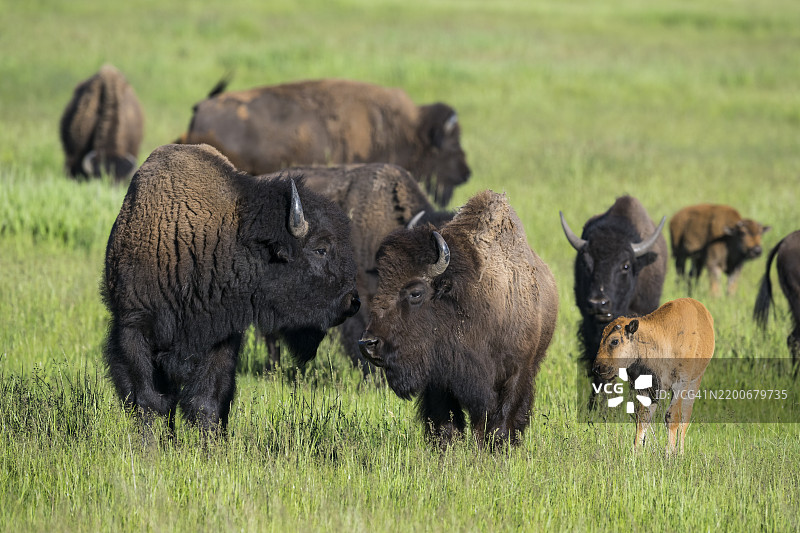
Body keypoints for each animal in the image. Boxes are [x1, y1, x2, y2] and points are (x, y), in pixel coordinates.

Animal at [102, 144, 360, 432]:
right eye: (320, 249)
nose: (353, 301)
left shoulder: (221, 338)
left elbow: (207, 402)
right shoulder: (135, 329)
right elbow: (148, 400)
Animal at [358, 191, 558, 447]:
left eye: (415, 292)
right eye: (381, 285)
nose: (368, 344)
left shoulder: (516, 371)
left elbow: (501, 420)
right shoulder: (440, 379)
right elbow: (446, 423)